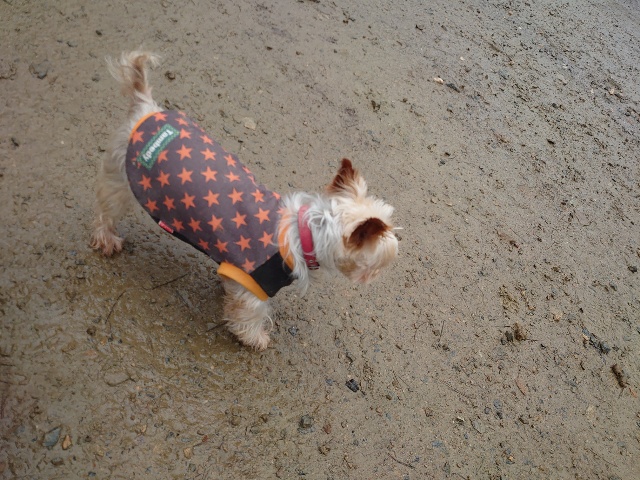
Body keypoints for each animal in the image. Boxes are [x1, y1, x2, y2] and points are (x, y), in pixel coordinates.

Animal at [90, 51, 398, 350]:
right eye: (382, 260)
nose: (377, 276)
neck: (306, 231)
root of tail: (146, 108)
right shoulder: (254, 282)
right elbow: (250, 314)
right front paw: (255, 338)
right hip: (121, 178)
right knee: (106, 211)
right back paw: (107, 240)